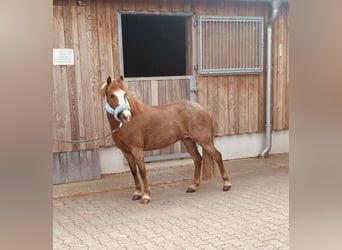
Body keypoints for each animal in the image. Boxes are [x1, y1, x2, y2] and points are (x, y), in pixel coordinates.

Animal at [100, 76, 231, 203]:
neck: (131, 122)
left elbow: (142, 171)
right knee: (197, 159)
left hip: (204, 141)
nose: (126, 116)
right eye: (112, 95)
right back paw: (193, 186)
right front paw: (137, 193)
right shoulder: (126, 152)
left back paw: (226, 184)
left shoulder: (137, 150)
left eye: (125, 95)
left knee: (217, 156)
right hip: (188, 141)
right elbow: (133, 171)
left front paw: (146, 196)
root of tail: (203, 108)